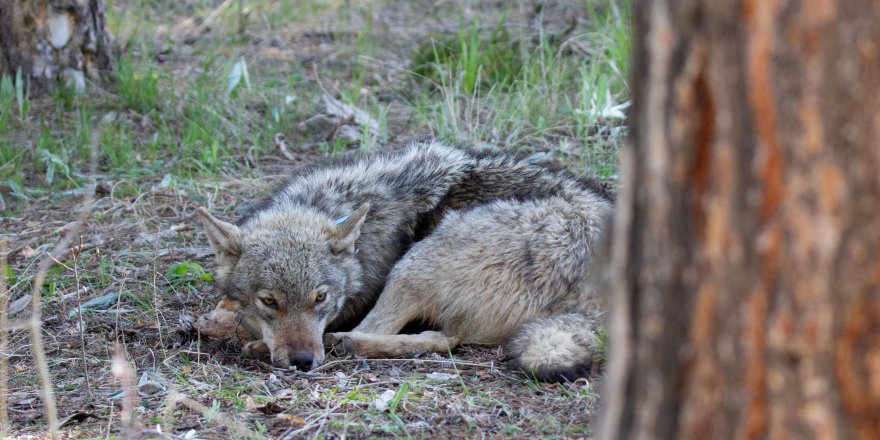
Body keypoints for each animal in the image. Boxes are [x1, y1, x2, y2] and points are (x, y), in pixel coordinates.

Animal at [198, 142, 612, 382]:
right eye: (269, 301)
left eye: (320, 299)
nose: (302, 360)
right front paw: (219, 319)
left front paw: (240, 334)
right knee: (444, 340)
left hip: (414, 264)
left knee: (395, 333)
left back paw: (340, 342)